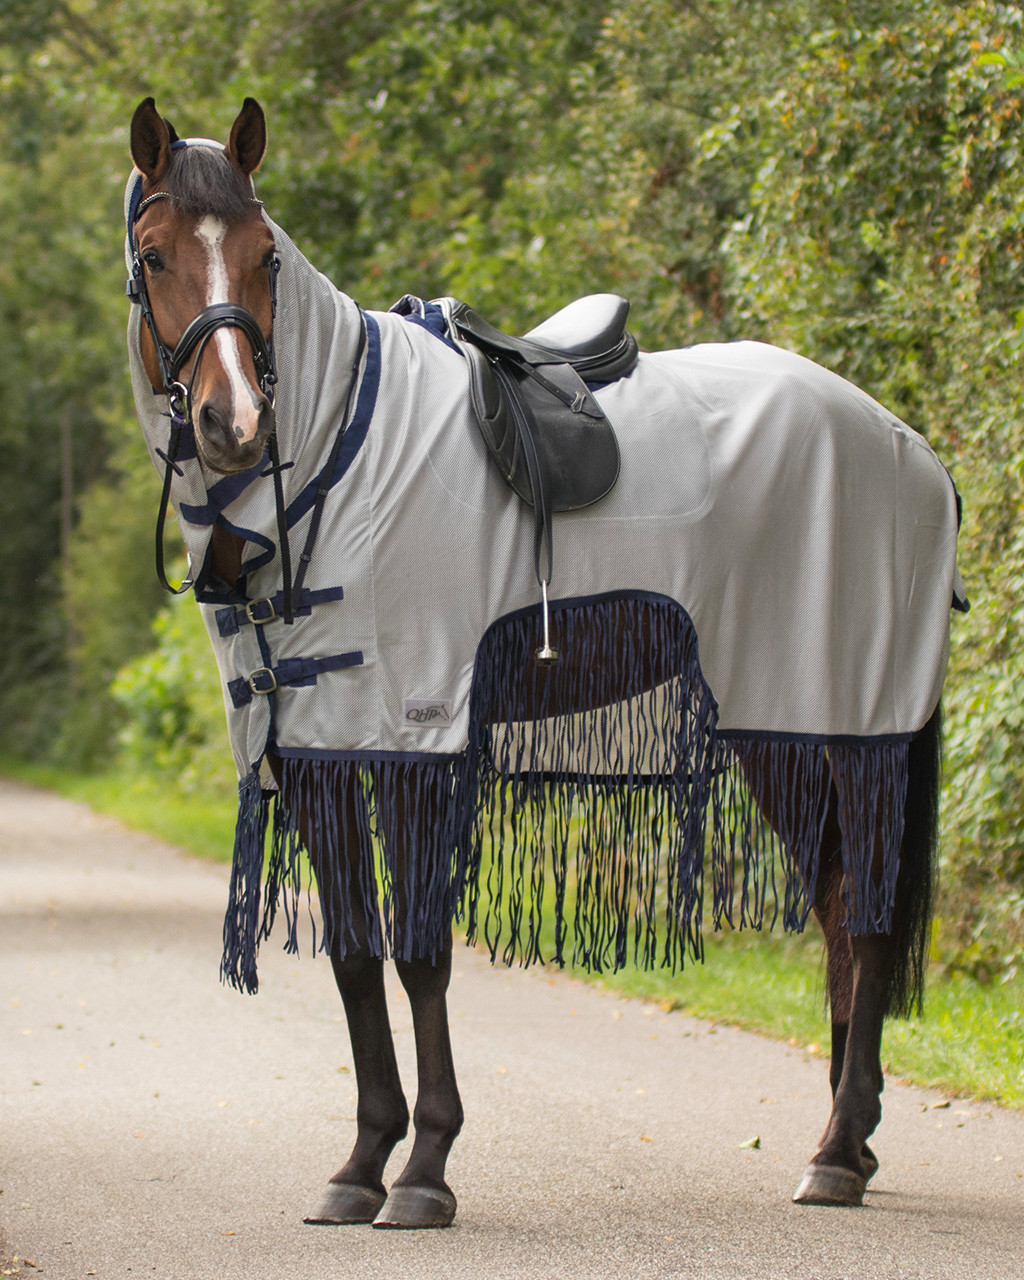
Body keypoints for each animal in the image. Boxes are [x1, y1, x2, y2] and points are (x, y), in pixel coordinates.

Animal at [124, 96, 964, 1228]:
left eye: (265, 257)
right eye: (155, 254)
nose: (234, 423)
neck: (342, 460)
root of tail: (905, 444)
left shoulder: (418, 738)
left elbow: (419, 952)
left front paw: (425, 1169)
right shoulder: (317, 750)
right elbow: (355, 955)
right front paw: (360, 1164)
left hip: (842, 722)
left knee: (863, 919)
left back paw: (836, 1152)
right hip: (789, 730)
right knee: (839, 911)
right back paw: (850, 1141)